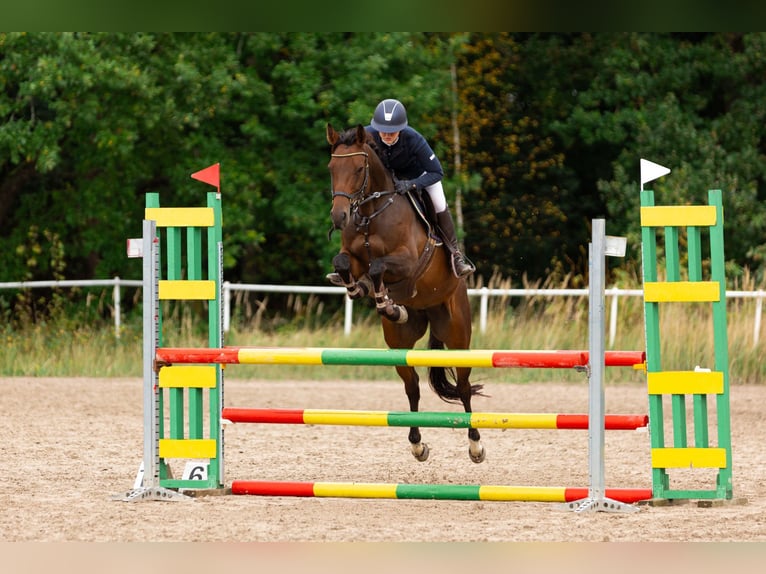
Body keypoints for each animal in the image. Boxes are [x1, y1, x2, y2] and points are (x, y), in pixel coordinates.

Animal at [325, 123, 486, 463]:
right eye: (332, 168)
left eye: (358, 169)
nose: (339, 217)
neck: (371, 213)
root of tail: (430, 311)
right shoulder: (351, 256)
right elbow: (343, 263)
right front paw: (363, 292)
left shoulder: (408, 261)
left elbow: (377, 268)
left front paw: (384, 300)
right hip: (399, 344)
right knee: (412, 388)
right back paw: (417, 444)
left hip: (458, 336)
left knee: (464, 387)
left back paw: (476, 445)